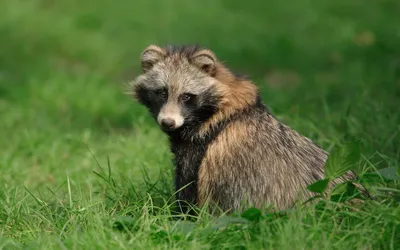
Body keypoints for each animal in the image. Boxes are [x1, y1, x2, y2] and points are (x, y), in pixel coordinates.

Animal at [132, 44, 362, 214]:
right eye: (161, 92)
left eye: (187, 96)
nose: (168, 122)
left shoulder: (199, 149)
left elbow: (187, 192)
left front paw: (180, 217)